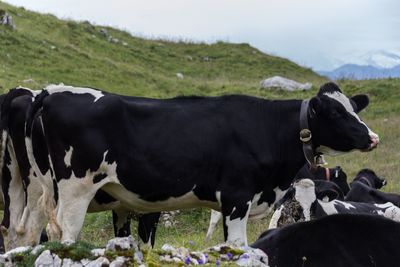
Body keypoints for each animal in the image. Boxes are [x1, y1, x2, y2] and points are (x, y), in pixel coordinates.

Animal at [25, 82, 378, 246]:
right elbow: (237, 243)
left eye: (354, 108)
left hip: (40, 191)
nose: (372, 137)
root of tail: (51, 92)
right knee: (65, 235)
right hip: (76, 190)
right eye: (336, 113)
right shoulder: (237, 196)